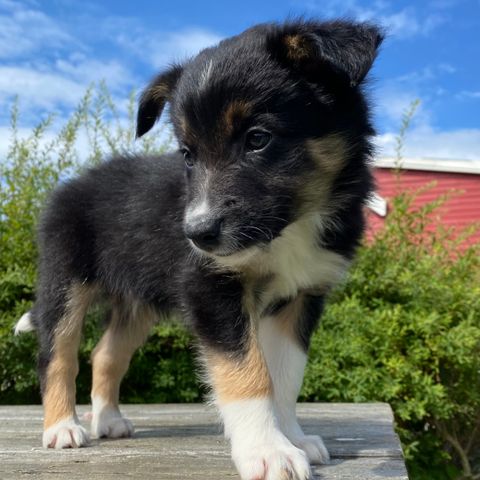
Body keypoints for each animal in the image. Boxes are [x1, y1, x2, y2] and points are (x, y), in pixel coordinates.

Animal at [15, 19, 382, 480]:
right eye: (188, 155)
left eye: (258, 139)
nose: (197, 234)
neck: (290, 228)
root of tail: (71, 184)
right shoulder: (212, 287)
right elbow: (248, 372)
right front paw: (268, 452)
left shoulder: (302, 295)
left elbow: (285, 376)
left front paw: (293, 438)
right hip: (64, 280)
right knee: (58, 356)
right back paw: (62, 428)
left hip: (137, 303)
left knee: (105, 355)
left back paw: (109, 420)